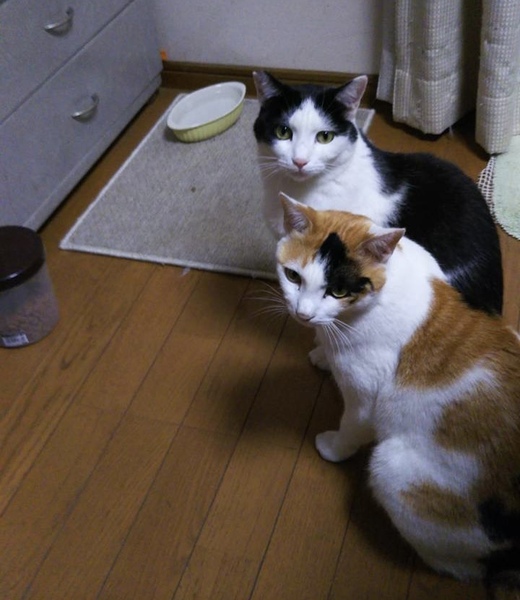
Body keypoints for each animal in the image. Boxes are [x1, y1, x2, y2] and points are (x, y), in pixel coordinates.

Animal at [276, 193, 520, 589]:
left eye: (338, 291)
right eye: (292, 276)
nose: (303, 315)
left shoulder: (364, 394)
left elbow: (351, 427)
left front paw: (332, 448)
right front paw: (321, 353)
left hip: (392, 470)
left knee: (464, 568)